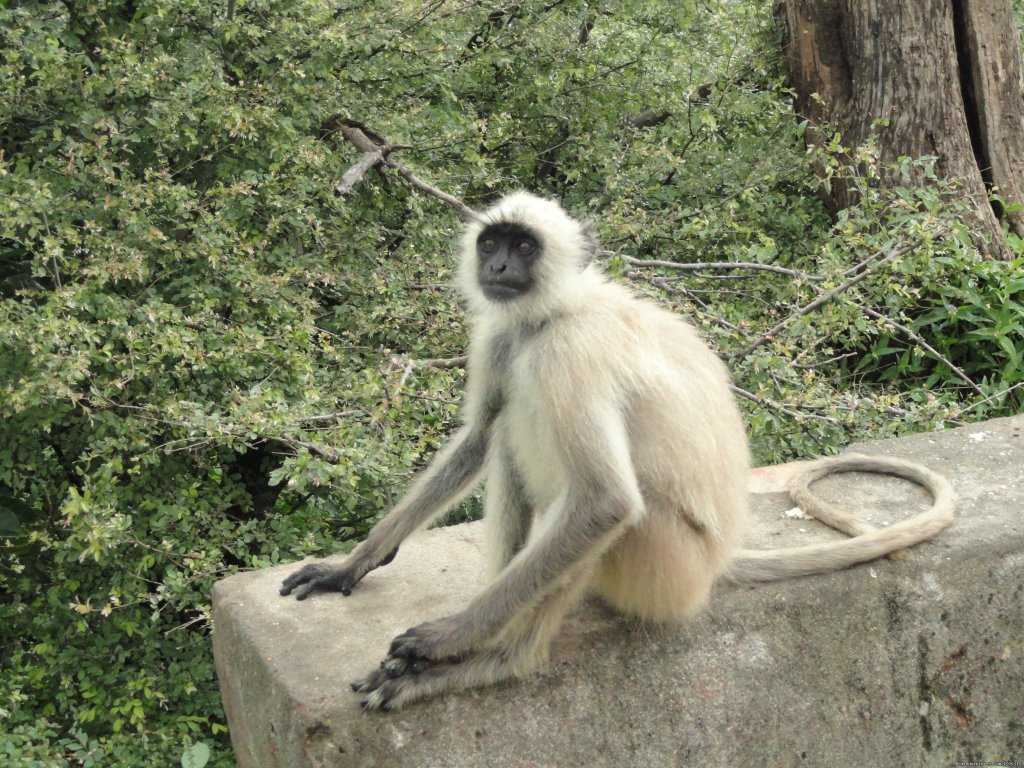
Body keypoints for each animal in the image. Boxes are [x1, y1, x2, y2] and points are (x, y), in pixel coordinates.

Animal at [278, 193, 950, 716]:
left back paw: (496, 661)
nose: (497, 263)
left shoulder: (569, 352)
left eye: (525, 247)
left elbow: (605, 501)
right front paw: (352, 564)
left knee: (601, 504)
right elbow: (478, 435)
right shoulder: (501, 334)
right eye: (492, 242)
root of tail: (716, 563)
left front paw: (447, 639)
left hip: (666, 569)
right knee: (508, 439)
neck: (552, 314)